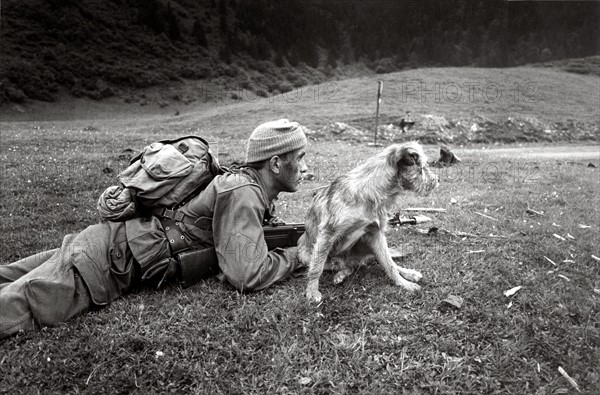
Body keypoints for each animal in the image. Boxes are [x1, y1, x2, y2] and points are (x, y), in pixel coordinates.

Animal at [298, 142, 438, 304]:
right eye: (423, 167)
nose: (437, 180)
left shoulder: (376, 234)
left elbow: (389, 264)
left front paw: (403, 283)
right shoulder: (327, 234)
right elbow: (317, 267)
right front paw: (312, 291)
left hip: (368, 244)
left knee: (378, 261)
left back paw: (409, 273)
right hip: (305, 255)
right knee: (342, 266)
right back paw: (340, 274)